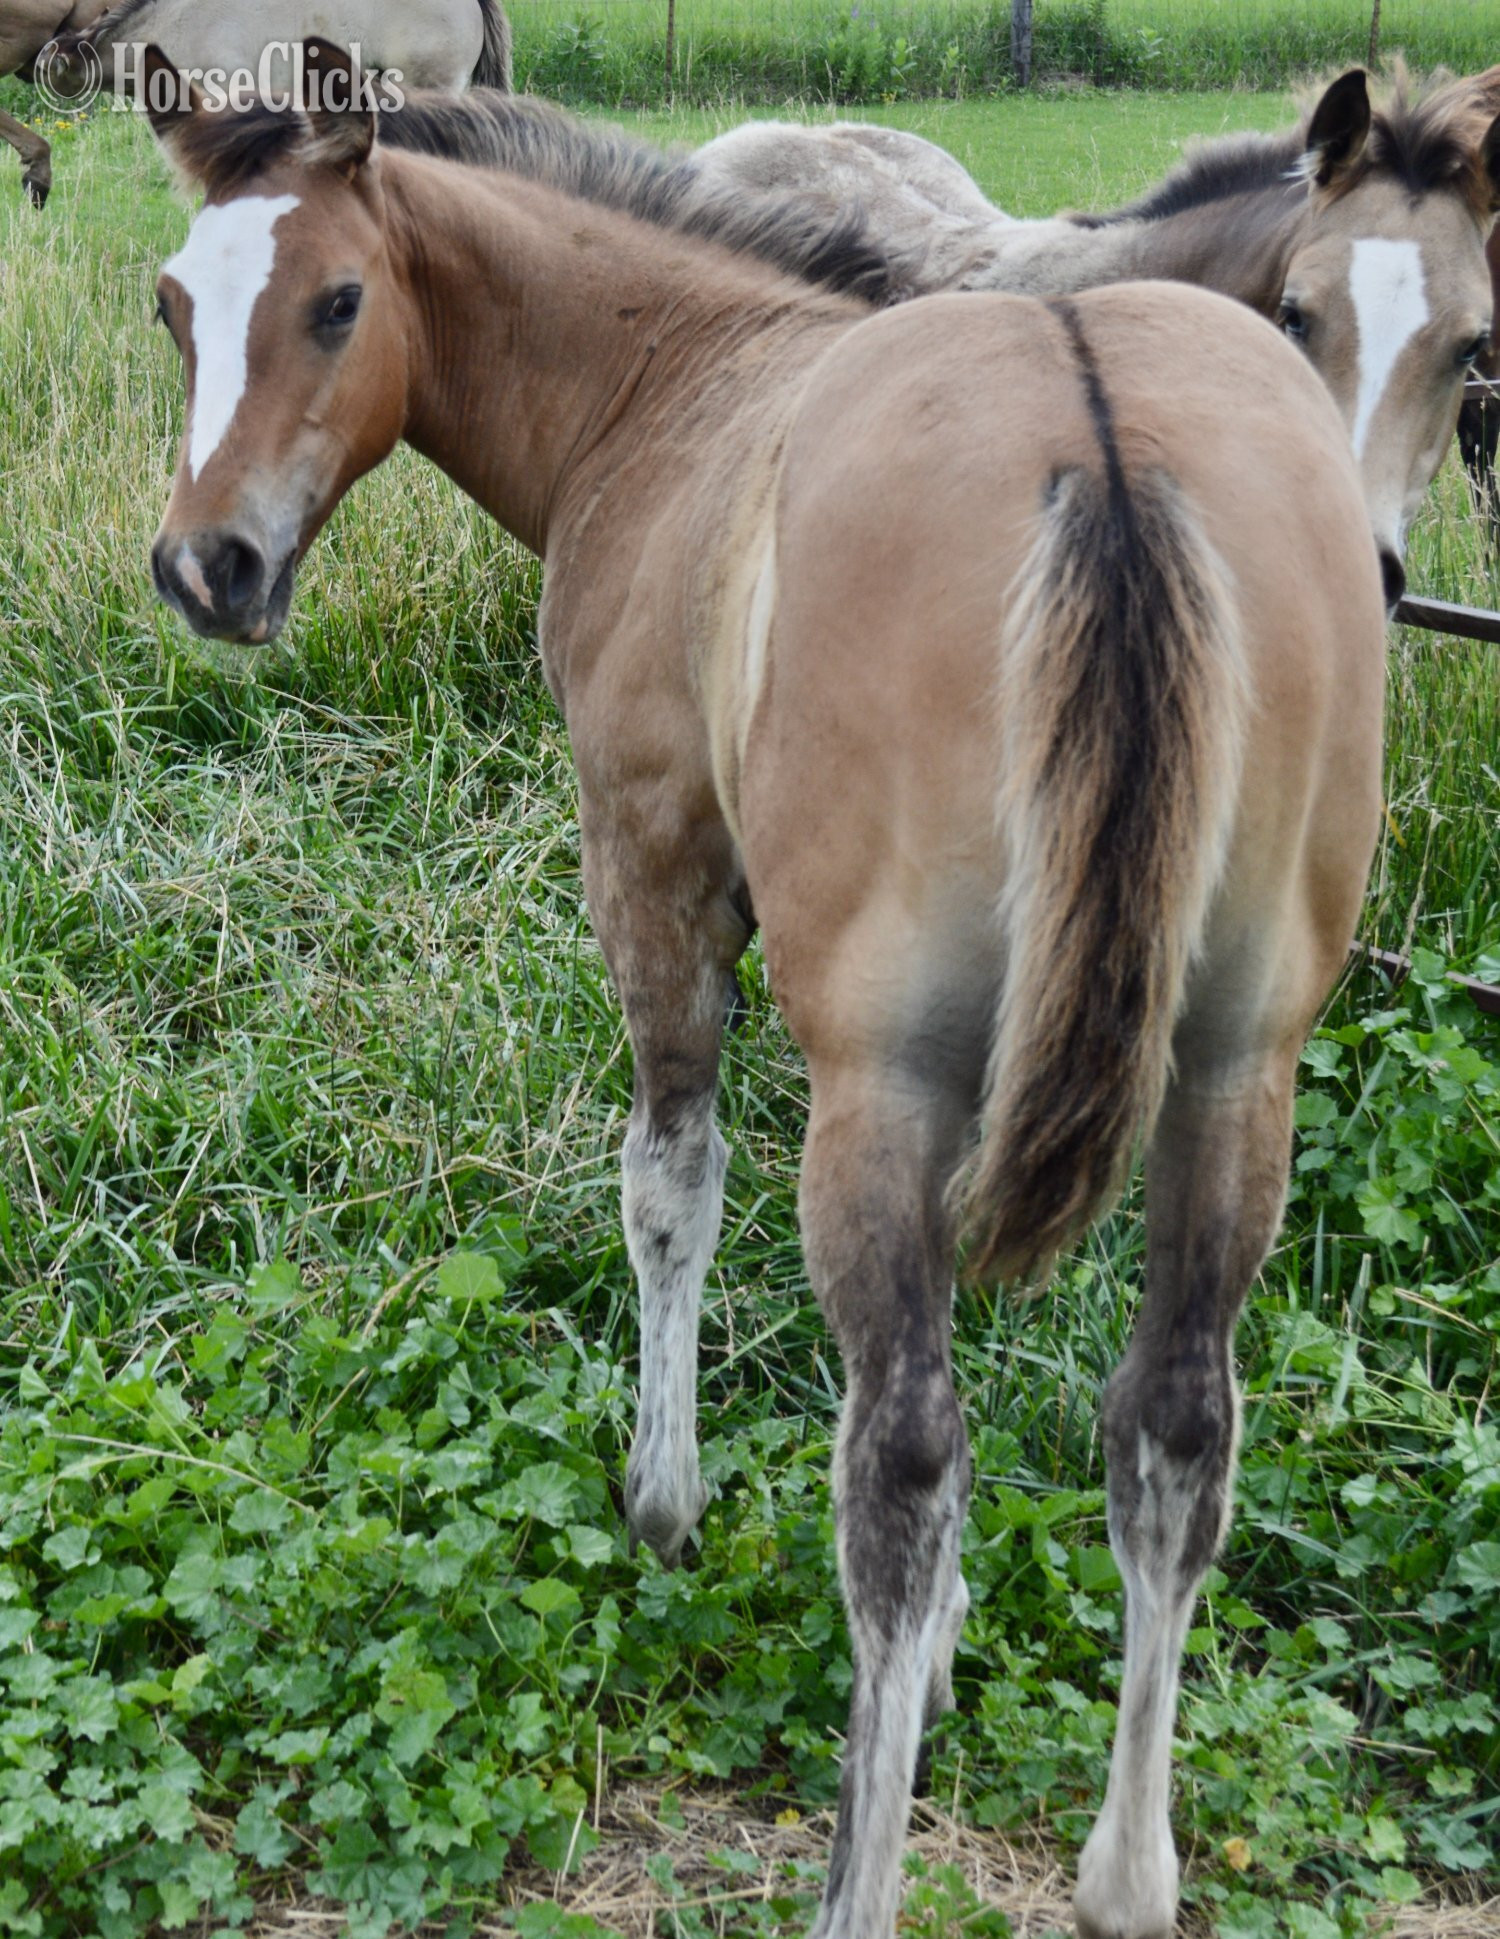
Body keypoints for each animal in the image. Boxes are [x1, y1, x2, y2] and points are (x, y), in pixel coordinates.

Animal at [141, 43, 1388, 1939]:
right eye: (169, 306)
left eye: (337, 301)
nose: (206, 567)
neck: (674, 378)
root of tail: (1107, 449)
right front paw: (943, 1659)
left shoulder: (652, 854)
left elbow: (672, 1180)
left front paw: (661, 1500)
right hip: (1237, 1064)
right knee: (1174, 1422)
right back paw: (1126, 1873)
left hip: (885, 1077)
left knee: (902, 1459)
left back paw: (859, 1881)